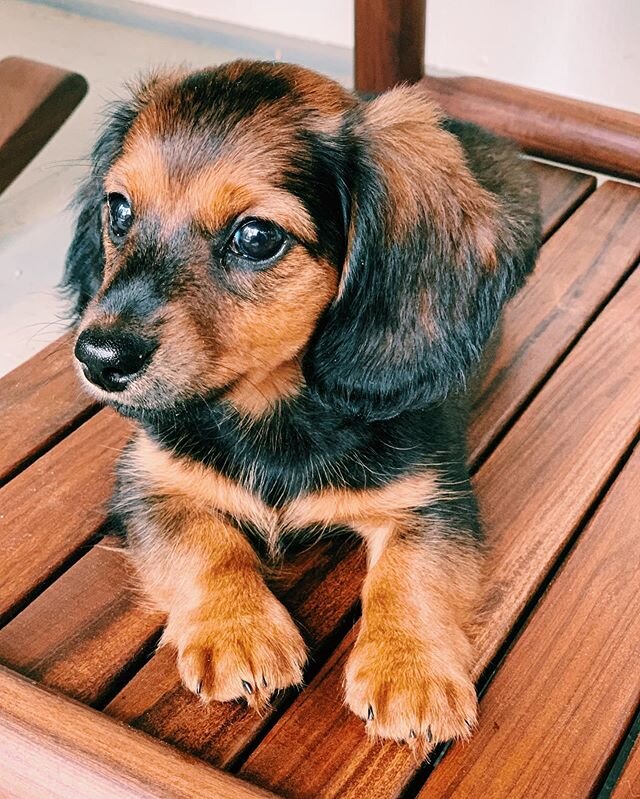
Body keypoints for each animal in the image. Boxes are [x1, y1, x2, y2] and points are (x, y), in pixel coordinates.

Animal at [63, 61, 540, 756]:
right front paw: (236, 630)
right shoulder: (149, 480)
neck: (272, 412)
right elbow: (206, 543)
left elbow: (409, 573)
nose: (99, 357)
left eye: (257, 236)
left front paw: (411, 671)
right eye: (118, 209)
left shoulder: (433, 499)